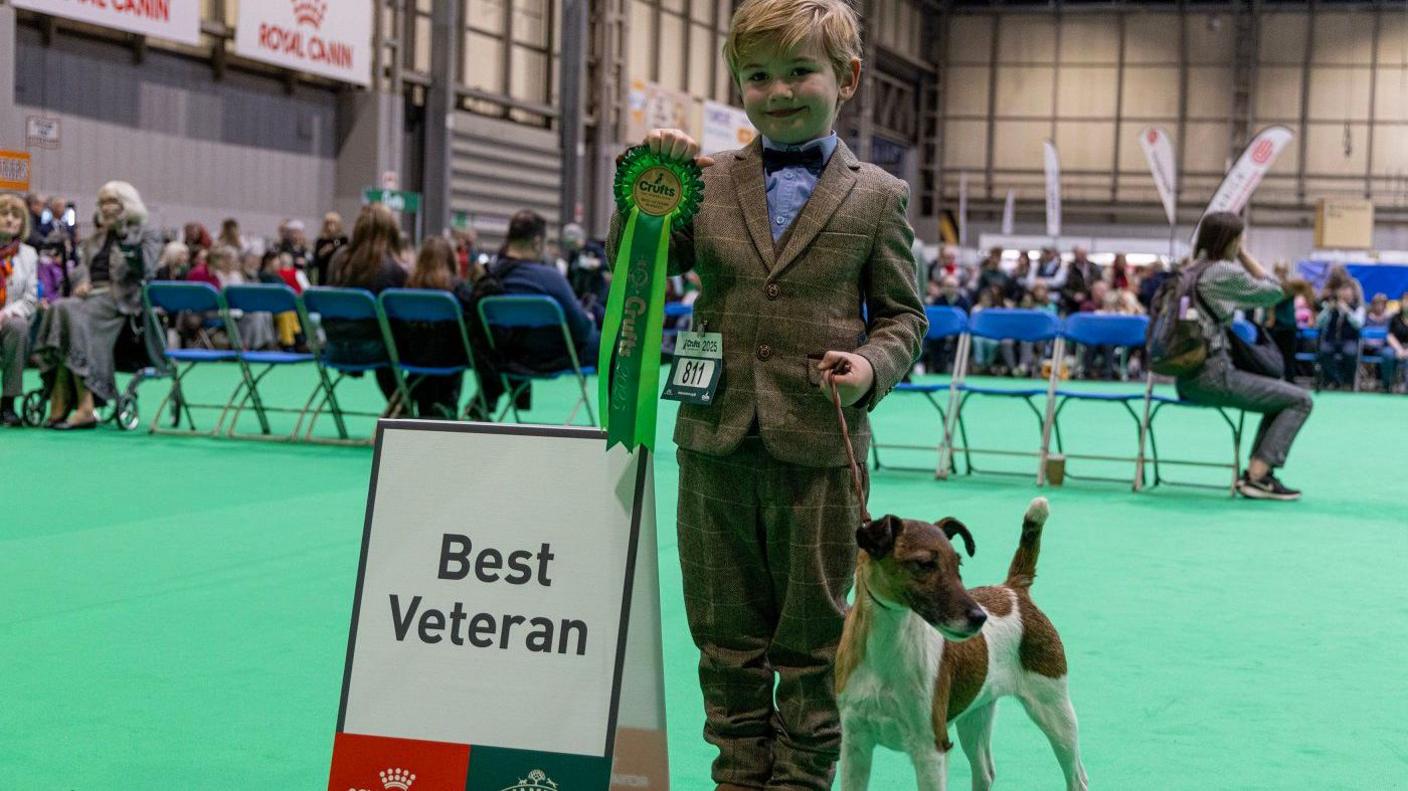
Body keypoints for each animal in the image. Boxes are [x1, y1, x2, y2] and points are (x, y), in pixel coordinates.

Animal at [833, 498, 1086, 788]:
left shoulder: (931, 749)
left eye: (959, 564)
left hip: (1055, 712)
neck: (885, 651)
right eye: (924, 564)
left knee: (1077, 777)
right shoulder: (855, 745)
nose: (979, 617)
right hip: (976, 714)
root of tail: (1014, 589)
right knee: (985, 771)